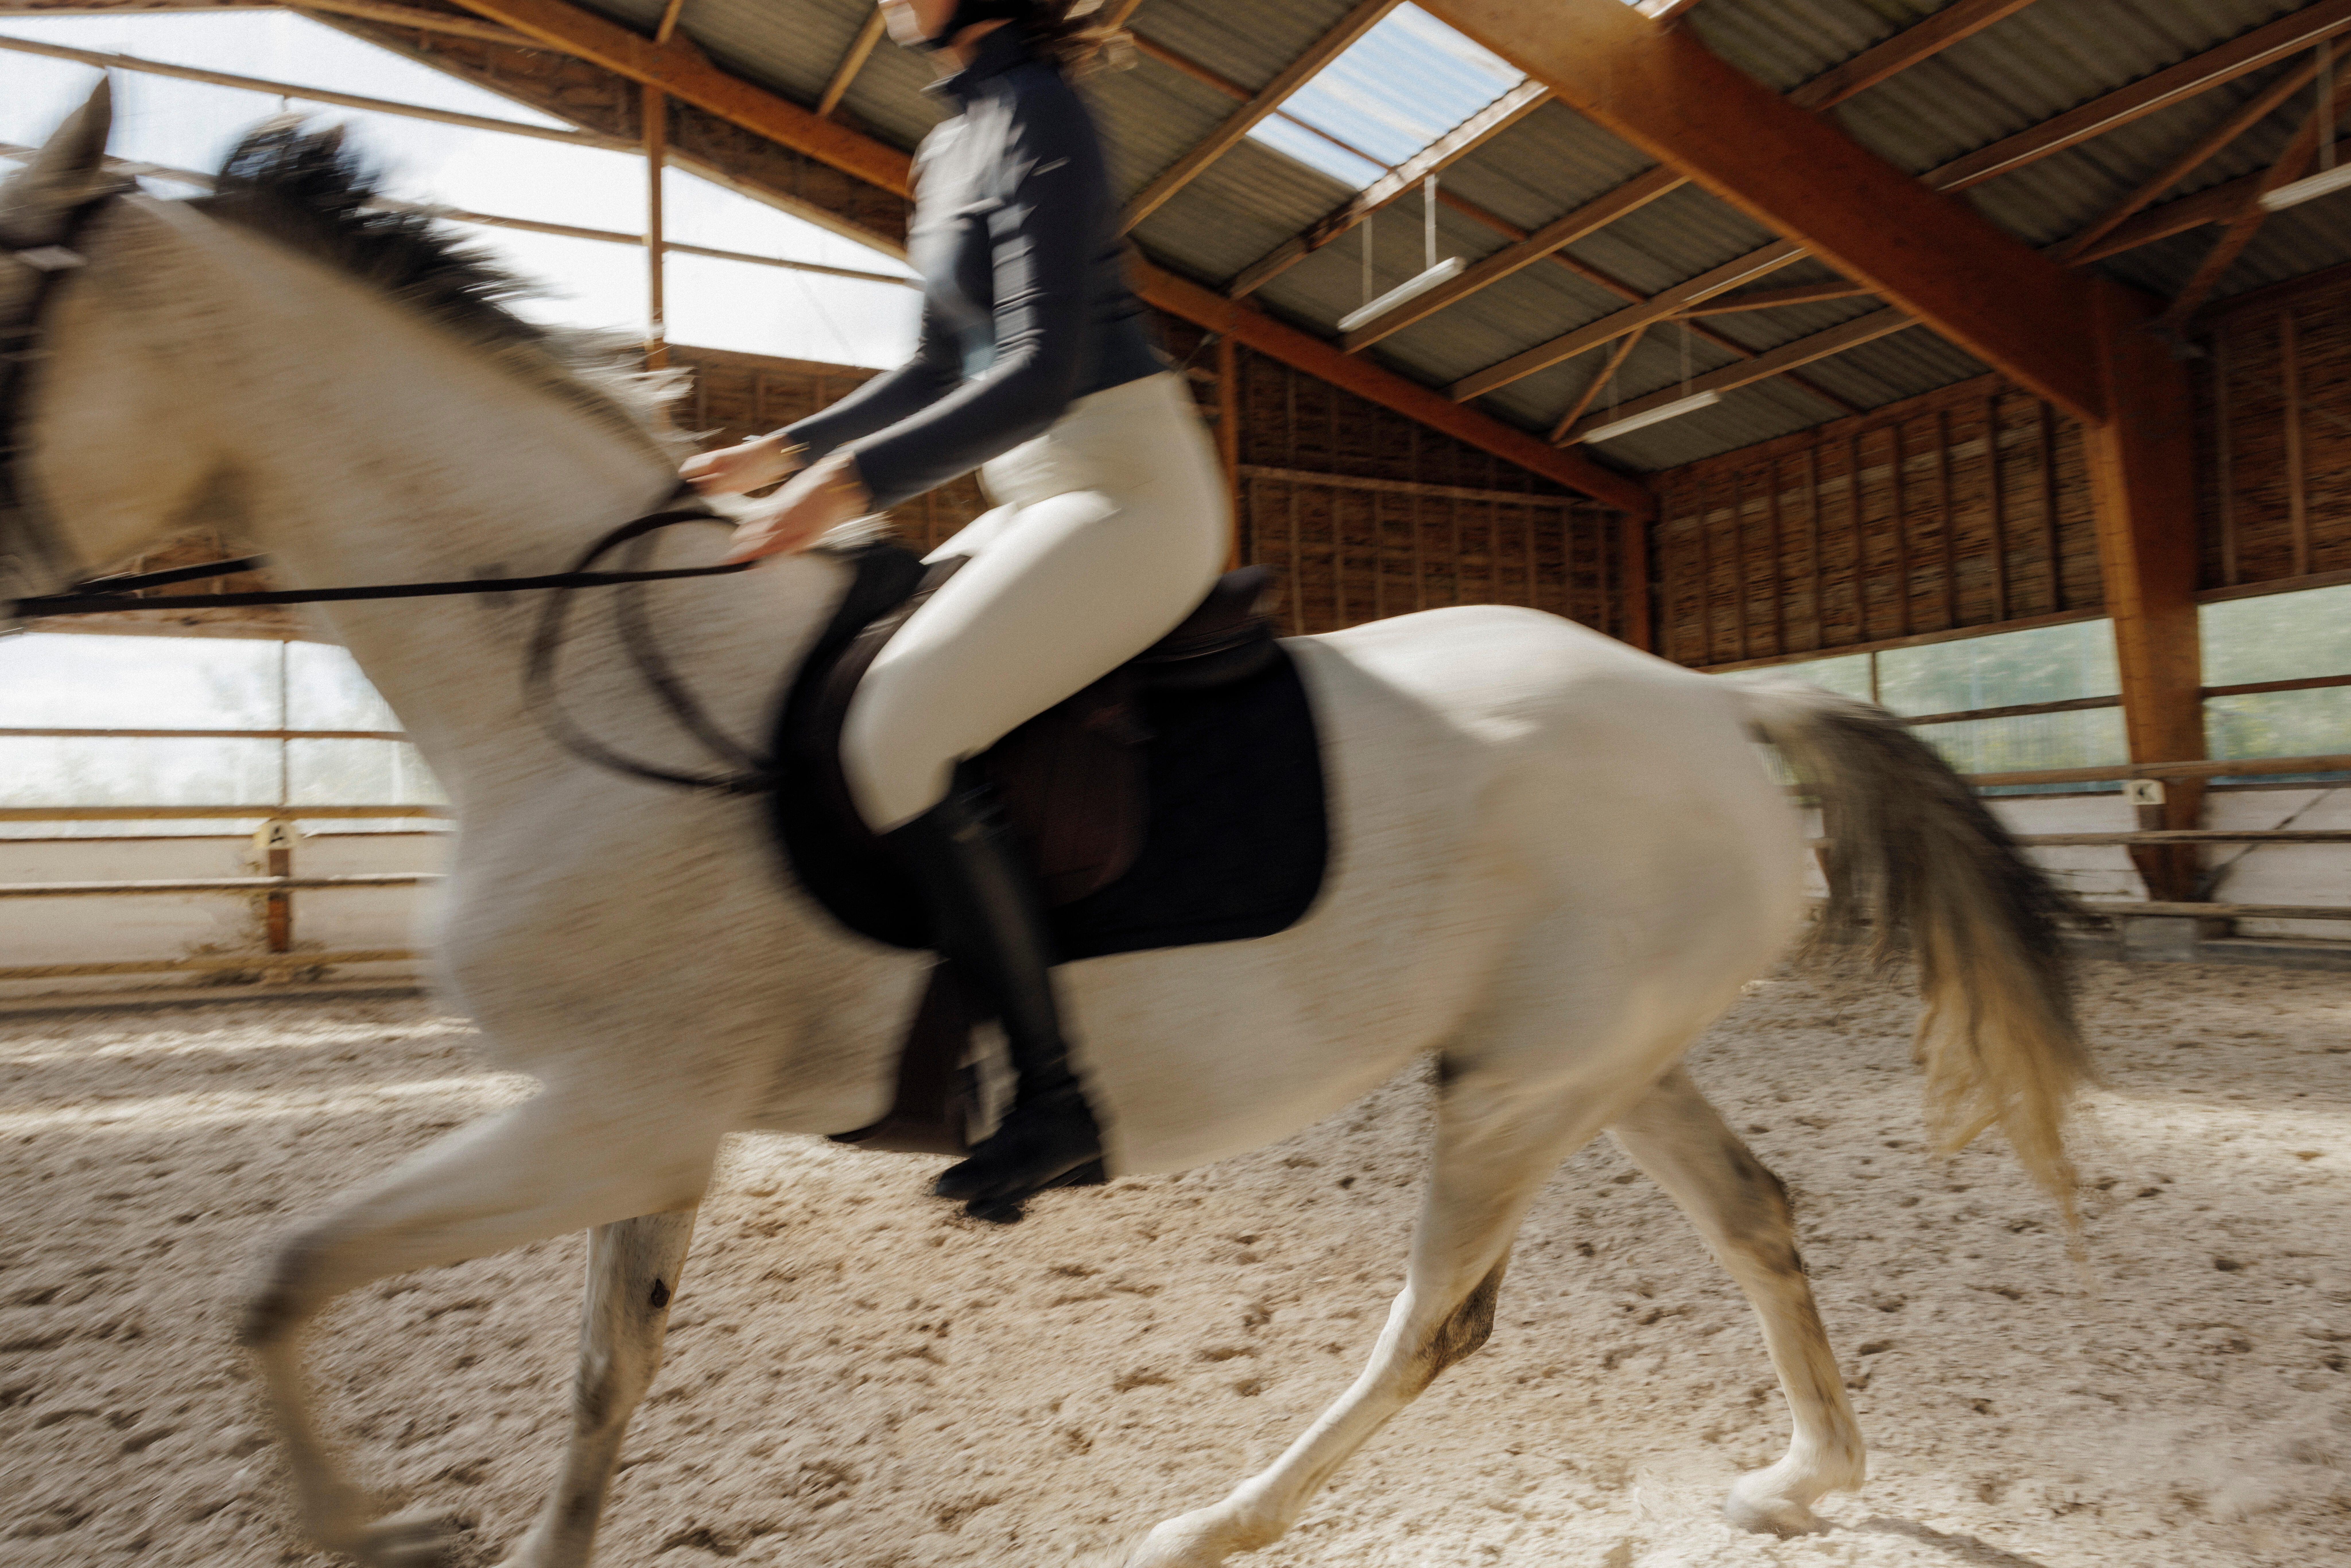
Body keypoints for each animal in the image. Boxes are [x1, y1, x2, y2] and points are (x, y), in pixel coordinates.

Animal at [2, 89, 2090, 1568]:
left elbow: (282, 1276)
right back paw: (1804, 1479)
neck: (581, 663)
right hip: (1597, 1057)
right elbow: (599, 1381)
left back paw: (1207, 1527)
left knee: (1439, 1318)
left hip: (1515, 1088)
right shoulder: (641, 1125)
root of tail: (1709, 700)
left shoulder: (609, 1111)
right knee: (1752, 1214)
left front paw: (370, 1528)